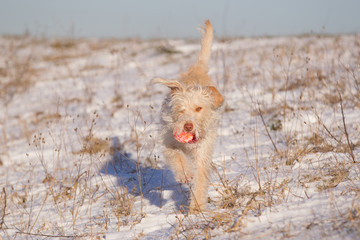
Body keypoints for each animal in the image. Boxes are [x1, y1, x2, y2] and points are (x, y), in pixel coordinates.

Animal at [152, 20, 222, 210]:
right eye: (181, 109)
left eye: (199, 108)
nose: (188, 126)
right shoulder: (168, 141)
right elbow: (176, 156)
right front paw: (184, 175)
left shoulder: (203, 153)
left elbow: (200, 179)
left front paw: (196, 208)